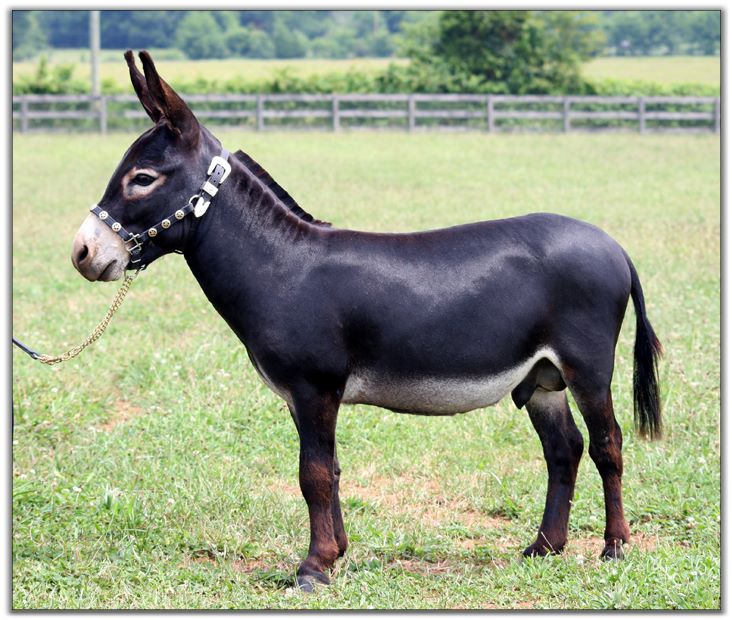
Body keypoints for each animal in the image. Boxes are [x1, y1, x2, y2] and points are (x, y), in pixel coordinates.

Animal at [71, 51, 662, 591]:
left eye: (142, 178)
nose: (81, 252)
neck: (281, 265)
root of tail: (613, 245)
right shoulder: (305, 396)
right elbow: (329, 470)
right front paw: (337, 554)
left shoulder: (314, 388)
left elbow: (311, 474)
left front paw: (313, 568)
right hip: (541, 378)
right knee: (564, 450)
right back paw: (544, 548)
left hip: (587, 367)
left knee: (608, 445)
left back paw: (613, 547)